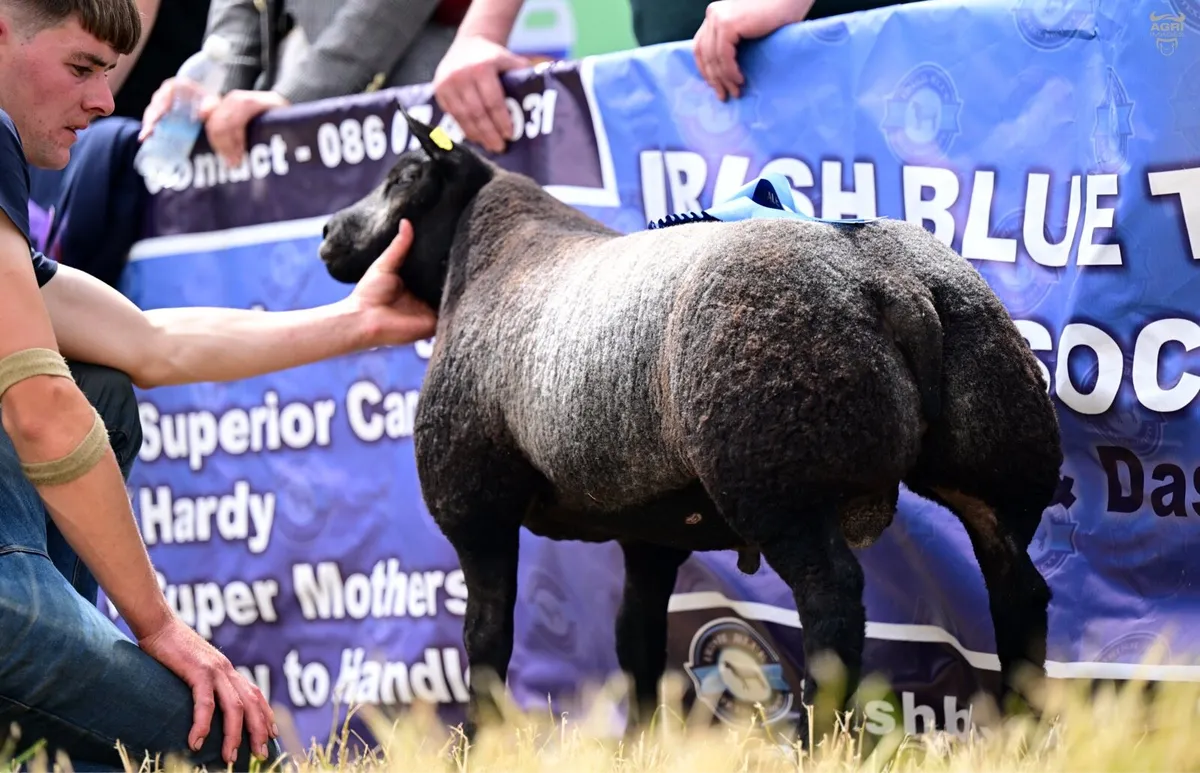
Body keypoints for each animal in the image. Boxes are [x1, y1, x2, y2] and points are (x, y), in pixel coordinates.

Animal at [317, 110, 1062, 747]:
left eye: (401, 176)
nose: (326, 234)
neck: (487, 256)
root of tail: (898, 288)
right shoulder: (653, 525)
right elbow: (637, 639)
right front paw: (638, 742)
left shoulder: (475, 508)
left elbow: (486, 637)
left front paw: (481, 742)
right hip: (1000, 459)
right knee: (1019, 589)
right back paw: (1022, 730)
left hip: (779, 468)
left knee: (833, 604)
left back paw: (820, 741)